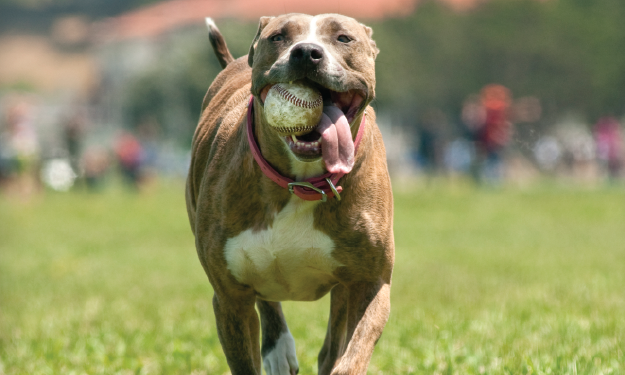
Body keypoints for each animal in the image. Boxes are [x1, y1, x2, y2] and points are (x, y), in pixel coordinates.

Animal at [183, 13, 392, 375]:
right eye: (278, 37)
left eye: (344, 38)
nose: (307, 52)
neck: (303, 185)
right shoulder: (230, 298)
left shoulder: (371, 283)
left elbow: (352, 353)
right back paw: (278, 349)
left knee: (332, 342)